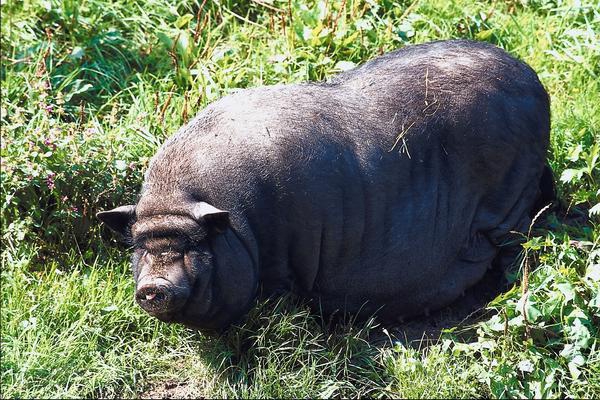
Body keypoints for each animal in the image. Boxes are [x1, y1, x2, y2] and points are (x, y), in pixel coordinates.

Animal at [98, 39, 552, 332]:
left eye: (193, 246)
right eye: (140, 247)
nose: (153, 286)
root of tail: (535, 81)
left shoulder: (281, 265)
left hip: (512, 194)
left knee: (516, 247)